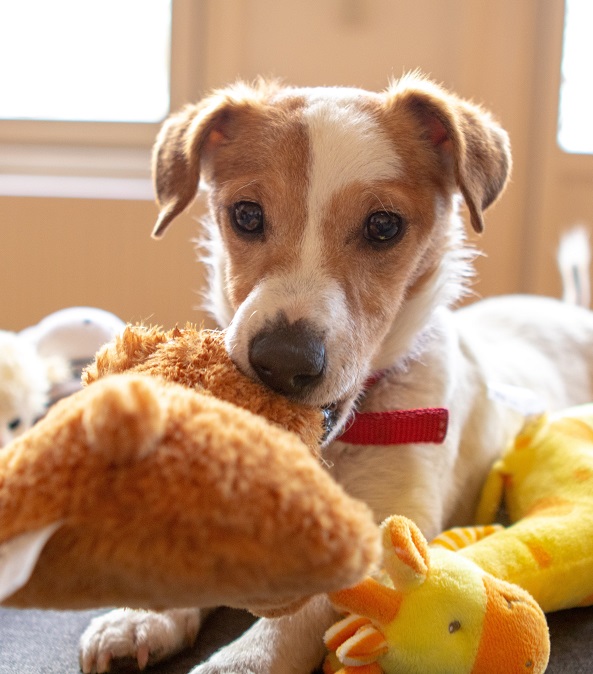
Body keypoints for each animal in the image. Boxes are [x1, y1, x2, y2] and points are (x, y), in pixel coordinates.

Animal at [78, 73, 593, 672]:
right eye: (246, 215)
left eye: (384, 225)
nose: (283, 361)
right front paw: (142, 616)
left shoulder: (397, 526)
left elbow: (304, 613)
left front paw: (241, 660)